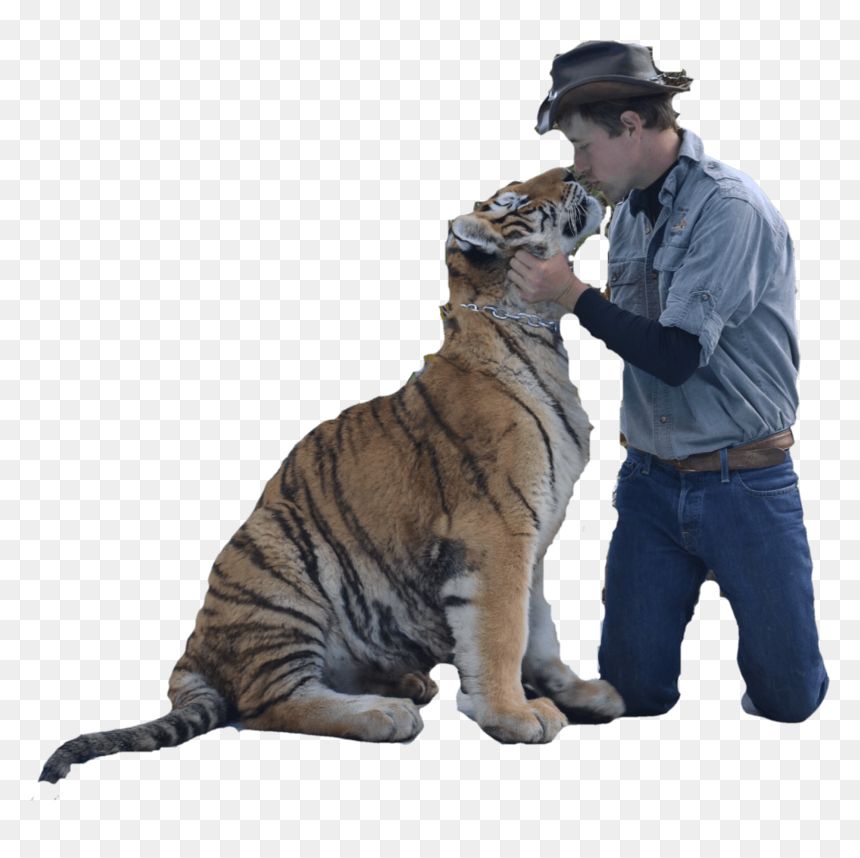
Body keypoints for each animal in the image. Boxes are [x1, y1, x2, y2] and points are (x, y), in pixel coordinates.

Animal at [39, 166, 625, 784]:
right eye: (514, 202)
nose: (572, 170)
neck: (535, 328)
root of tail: (193, 653)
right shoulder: (499, 532)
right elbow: (503, 630)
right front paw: (515, 715)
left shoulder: (532, 541)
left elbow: (540, 630)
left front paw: (581, 692)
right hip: (277, 563)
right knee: (268, 704)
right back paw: (384, 712)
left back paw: (406, 683)